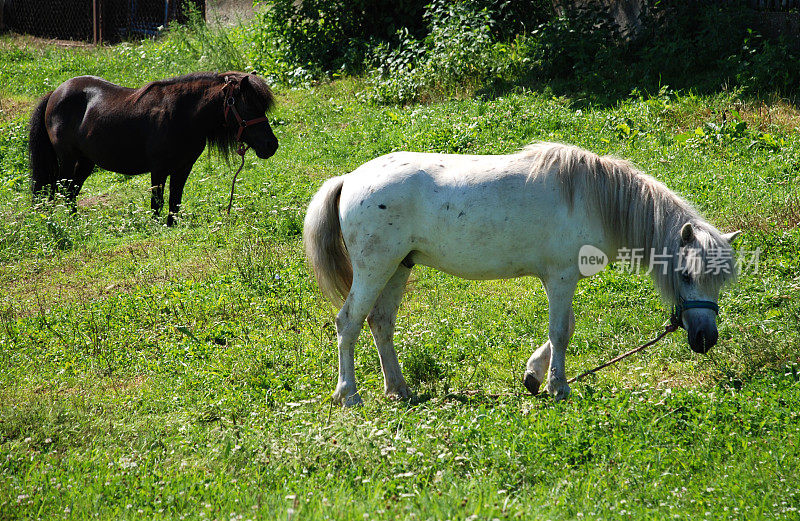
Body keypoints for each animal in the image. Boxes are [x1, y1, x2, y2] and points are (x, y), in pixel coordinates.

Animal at [28, 70, 278, 224]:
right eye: (249, 107)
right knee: (61, 189)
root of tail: (55, 93)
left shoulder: (183, 169)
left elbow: (174, 202)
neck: (182, 116)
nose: (271, 145)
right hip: (68, 159)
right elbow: (157, 204)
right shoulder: (158, 170)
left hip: (86, 162)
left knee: (71, 192)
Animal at [304, 143, 740, 406]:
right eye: (686, 275)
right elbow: (561, 331)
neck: (593, 198)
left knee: (381, 323)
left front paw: (534, 375)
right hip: (374, 269)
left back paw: (399, 389)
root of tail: (349, 179)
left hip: (398, 268)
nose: (706, 339)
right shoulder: (561, 278)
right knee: (348, 323)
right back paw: (349, 394)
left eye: (719, 281)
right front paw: (558, 386)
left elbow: (566, 327)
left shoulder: (561, 279)